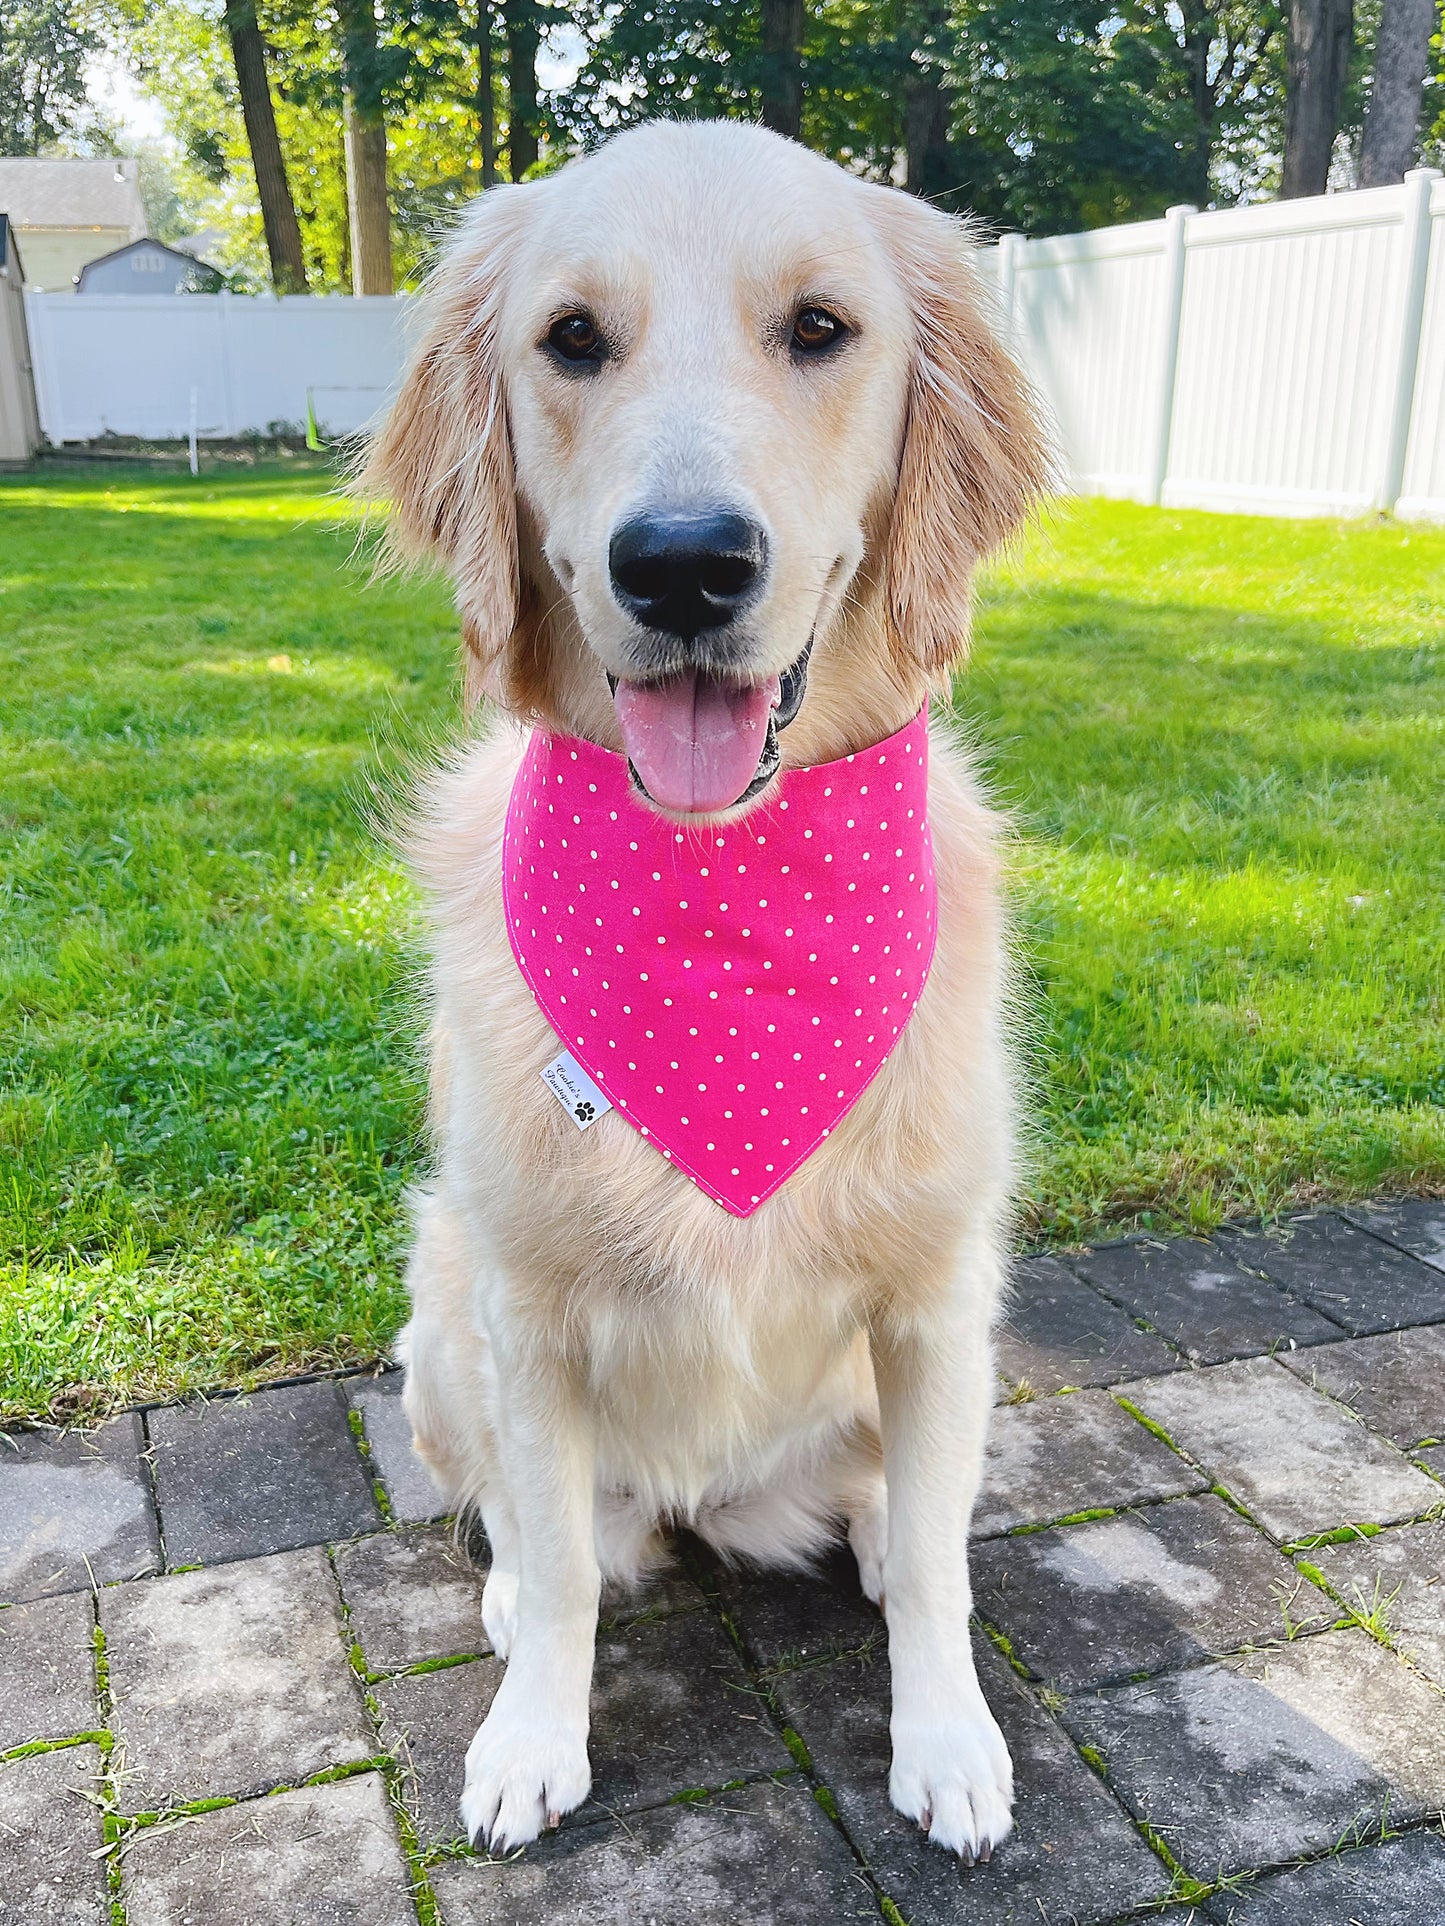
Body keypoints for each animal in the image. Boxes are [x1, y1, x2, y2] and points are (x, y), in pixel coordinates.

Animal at [362, 120, 1055, 1864]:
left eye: (819, 328)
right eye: (570, 339)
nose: (683, 566)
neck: (724, 890)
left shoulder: (938, 1291)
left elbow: (939, 1564)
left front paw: (948, 1738)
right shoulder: (527, 1311)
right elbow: (555, 1570)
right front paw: (529, 1738)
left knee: (898, 1505)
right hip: (438, 1309)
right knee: (537, 1529)